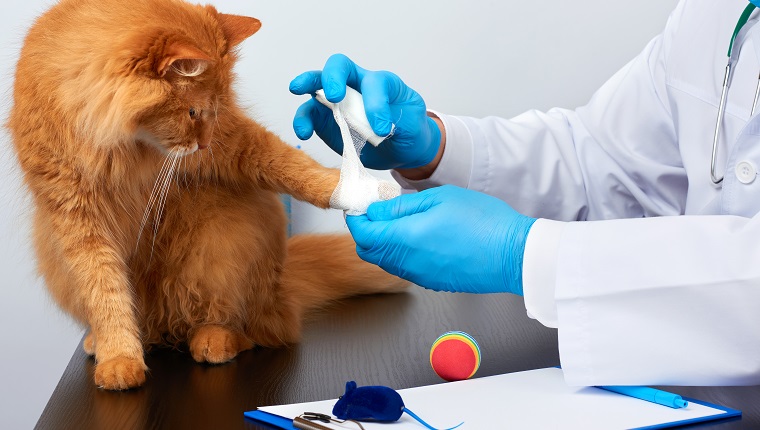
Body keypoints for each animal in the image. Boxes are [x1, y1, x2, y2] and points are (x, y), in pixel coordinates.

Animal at [8, 0, 406, 390]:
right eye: (192, 112)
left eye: (216, 109)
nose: (204, 143)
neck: (125, 147)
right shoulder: (76, 214)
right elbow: (105, 291)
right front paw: (119, 357)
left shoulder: (233, 140)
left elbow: (289, 165)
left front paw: (354, 190)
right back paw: (109, 341)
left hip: (224, 243)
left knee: (253, 329)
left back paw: (215, 339)